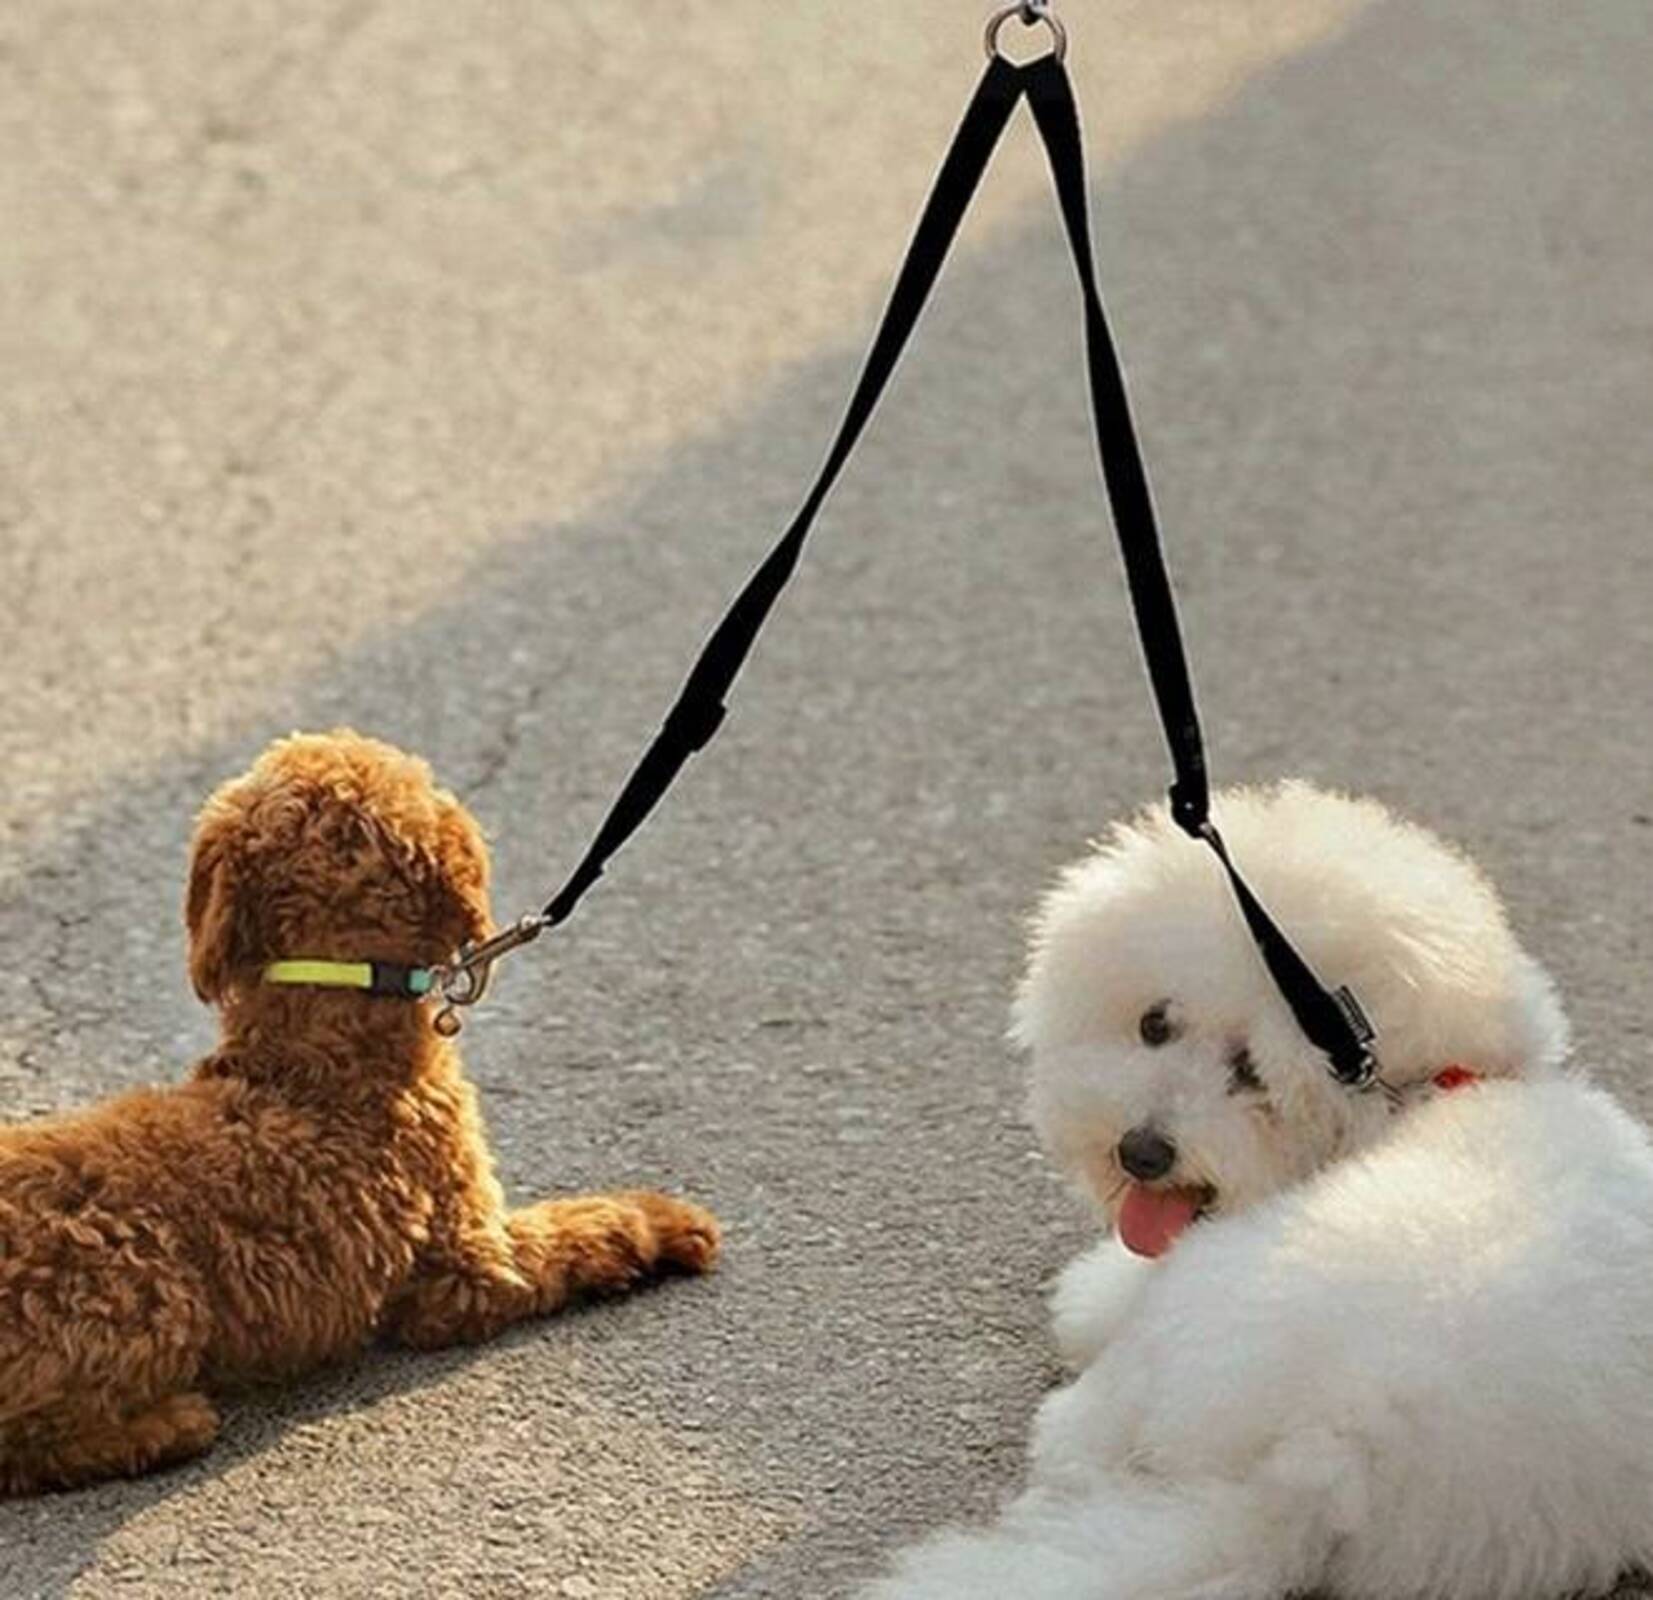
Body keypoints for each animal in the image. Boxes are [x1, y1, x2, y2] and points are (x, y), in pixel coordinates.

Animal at [0, 730, 719, 1495]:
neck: (317, 1047)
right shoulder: (468, 1262)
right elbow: (579, 1230)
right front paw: (667, 1223)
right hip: (150, 1291)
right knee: (26, 1447)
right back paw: (168, 1426)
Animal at [869, 782, 1653, 1600]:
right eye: (1154, 1023)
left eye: (1252, 1072)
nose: (1141, 1151)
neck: (1437, 1088)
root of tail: (1319, 1454)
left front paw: (1092, 1290)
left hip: (1183, 1319)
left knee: (1081, 1435)